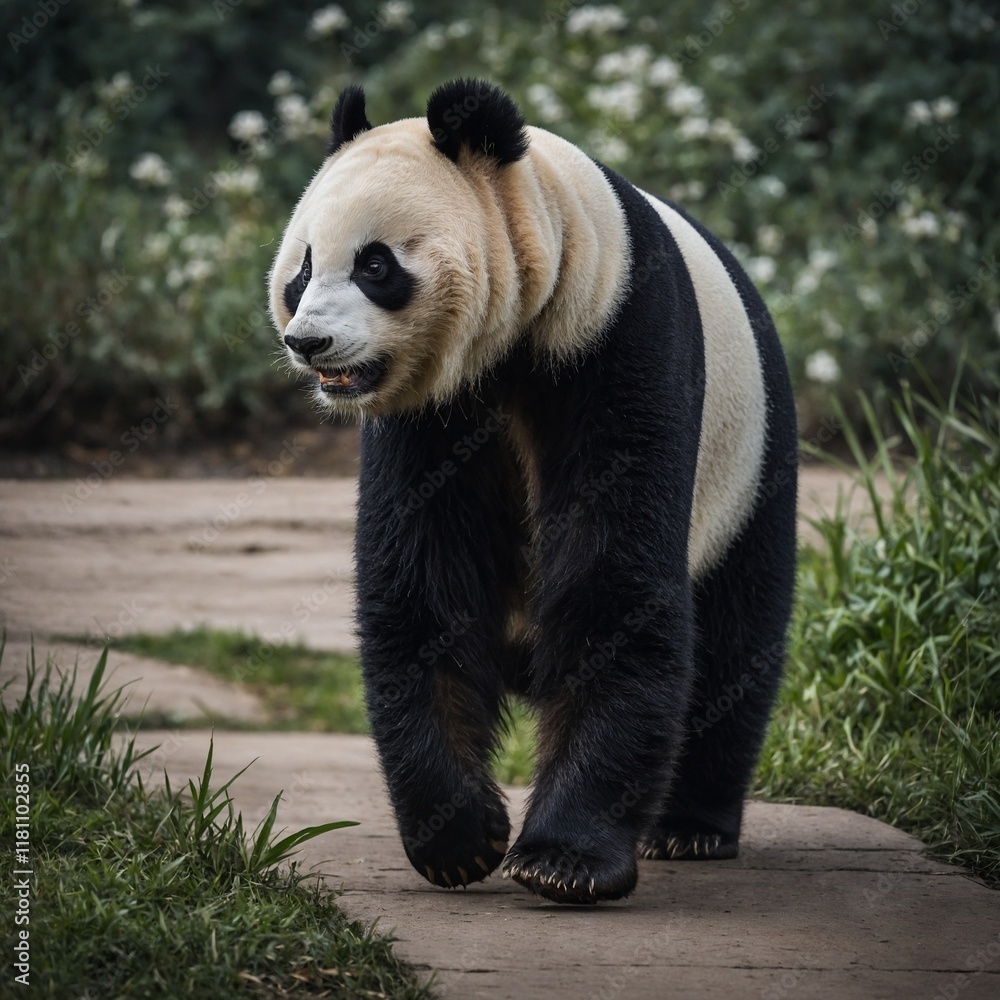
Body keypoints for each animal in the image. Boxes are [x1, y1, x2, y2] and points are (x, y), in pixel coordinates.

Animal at [269, 78, 797, 905]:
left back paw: (692, 827)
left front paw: (564, 859)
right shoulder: (431, 415)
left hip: (753, 468)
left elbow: (614, 585)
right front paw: (458, 838)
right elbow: (424, 586)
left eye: (376, 265)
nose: (309, 341)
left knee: (737, 641)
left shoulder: (617, 341)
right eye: (302, 268)